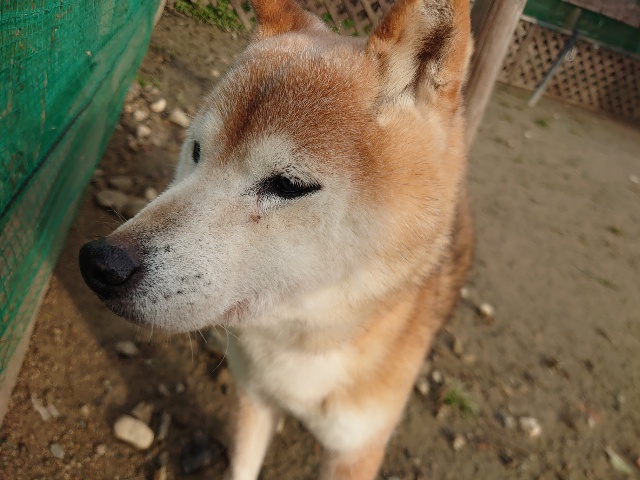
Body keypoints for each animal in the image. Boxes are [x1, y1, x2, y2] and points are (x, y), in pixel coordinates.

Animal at [80, 0, 473, 478]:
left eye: (288, 185)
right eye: (196, 152)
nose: (101, 263)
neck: (300, 343)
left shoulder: (355, 448)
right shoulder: (254, 401)